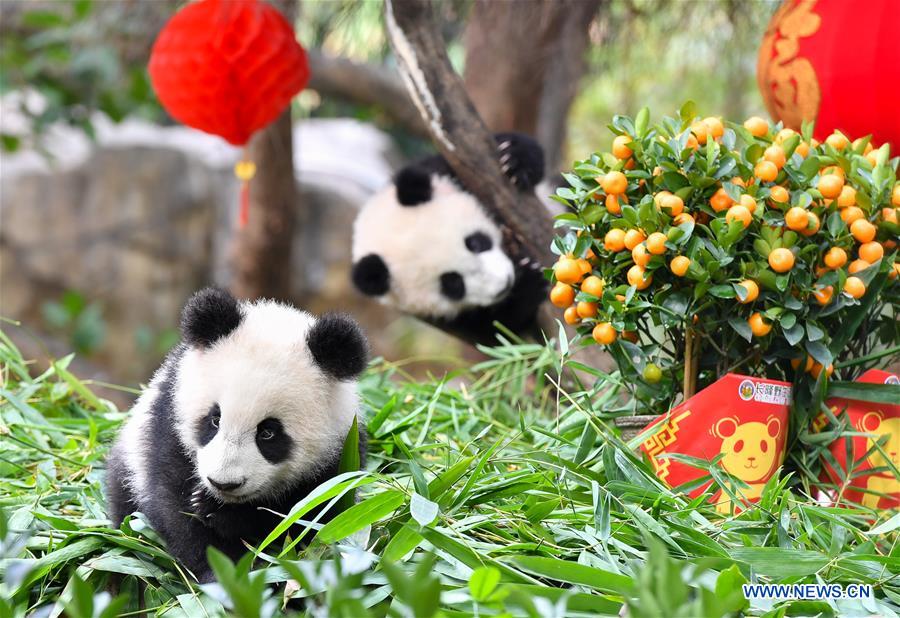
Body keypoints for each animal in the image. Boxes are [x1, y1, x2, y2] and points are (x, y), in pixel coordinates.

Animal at [105, 287, 368, 583]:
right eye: (214, 419)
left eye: (268, 432)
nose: (223, 483)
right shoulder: (168, 423)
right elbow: (173, 503)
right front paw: (217, 569)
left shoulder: (340, 454)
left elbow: (308, 518)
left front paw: (220, 514)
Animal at [351, 132, 549, 346]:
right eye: (453, 283)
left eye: (474, 243)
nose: (504, 283)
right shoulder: (440, 318)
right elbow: (496, 329)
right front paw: (530, 283)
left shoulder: (441, 171)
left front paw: (513, 160)